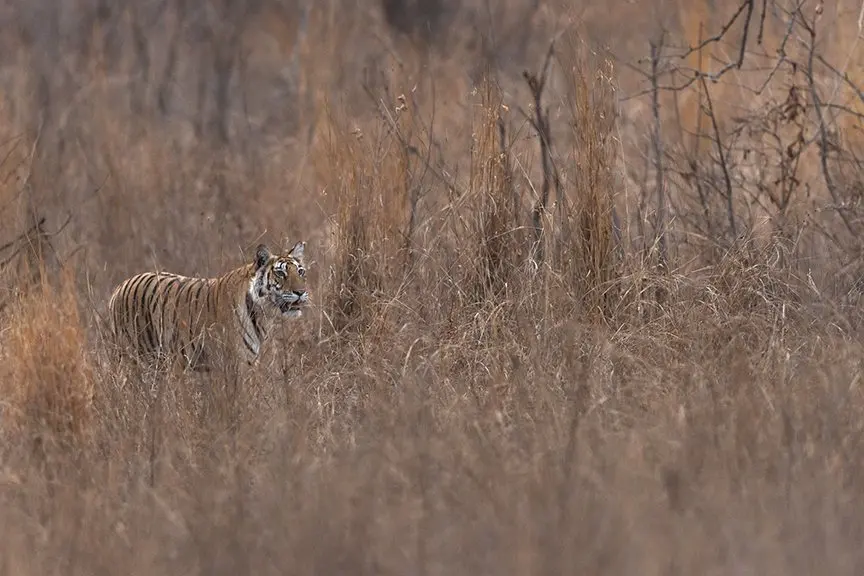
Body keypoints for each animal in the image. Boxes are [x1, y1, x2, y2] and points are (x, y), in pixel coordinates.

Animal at [106, 241, 309, 372]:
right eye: (281, 273)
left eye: (300, 272)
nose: (301, 292)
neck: (262, 314)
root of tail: (118, 288)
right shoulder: (237, 363)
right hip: (133, 358)